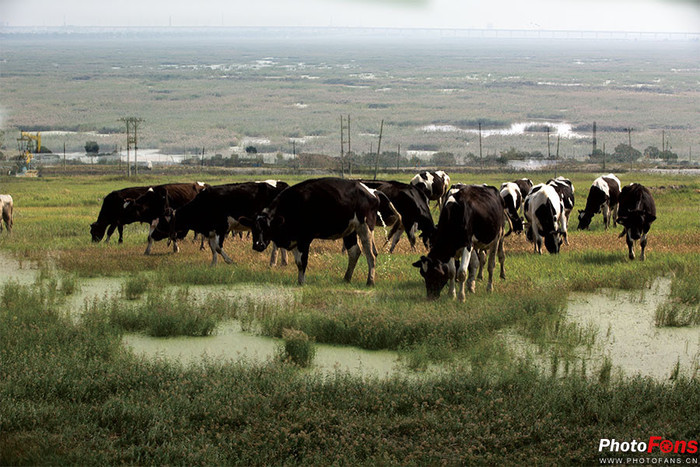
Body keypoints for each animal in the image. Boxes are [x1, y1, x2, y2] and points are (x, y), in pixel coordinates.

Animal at [242, 178, 400, 288]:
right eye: (254, 229)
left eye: (267, 228)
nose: (258, 245)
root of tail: (371, 191)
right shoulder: (294, 240)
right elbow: (298, 262)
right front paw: (299, 281)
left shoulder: (305, 239)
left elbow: (302, 261)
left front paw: (301, 283)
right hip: (350, 231)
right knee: (355, 252)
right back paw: (346, 278)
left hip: (365, 227)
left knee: (371, 254)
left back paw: (370, 281)